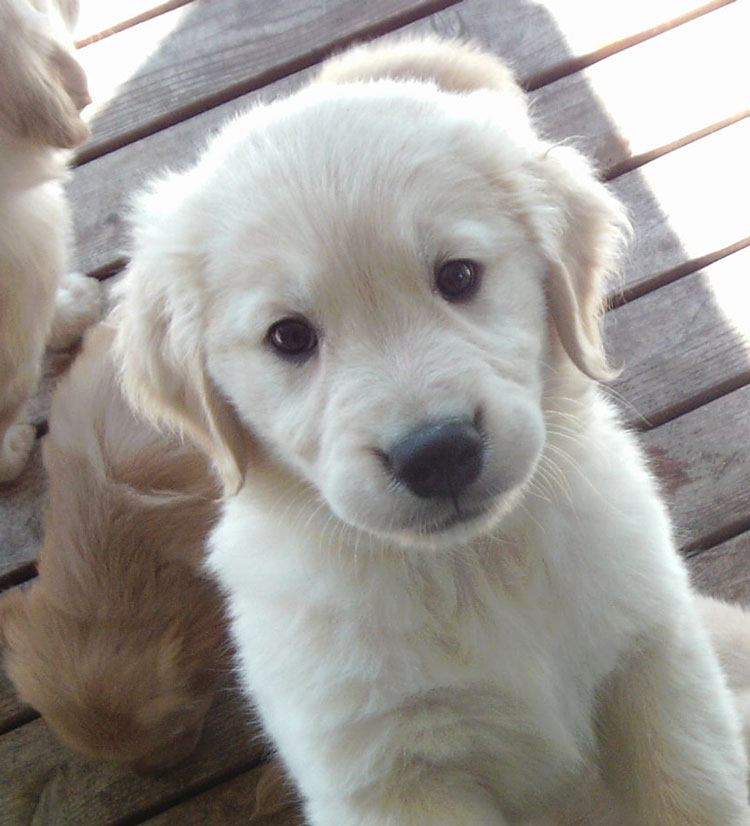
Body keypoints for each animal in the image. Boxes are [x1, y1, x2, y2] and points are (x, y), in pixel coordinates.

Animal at [111, 38, 750, 824]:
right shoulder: (391, 778)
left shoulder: (652, 662)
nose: (437, 453)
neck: (471, 571)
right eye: (289, 337)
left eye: (459, 276)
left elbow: (694, 793)